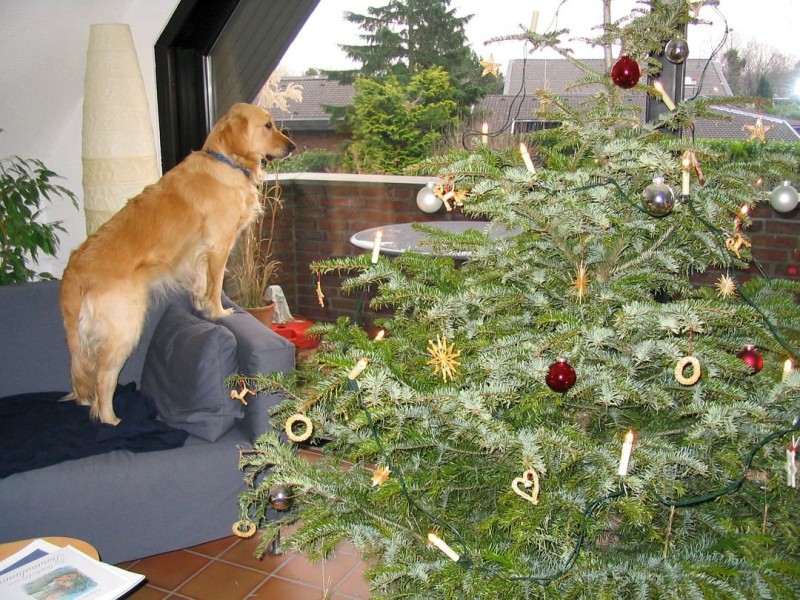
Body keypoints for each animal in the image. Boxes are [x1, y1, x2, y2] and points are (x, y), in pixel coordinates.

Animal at [60, 102, 296, 422]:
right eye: (268, 125)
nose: (293, 146)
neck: (227, 162)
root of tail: (74, 268)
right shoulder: (219, 244)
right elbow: (215, 285)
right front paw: (219, 312)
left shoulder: (199, 254)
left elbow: (201, 284)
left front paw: (200, 306)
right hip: (123, 327)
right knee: (102, 380)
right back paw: (112, 421)